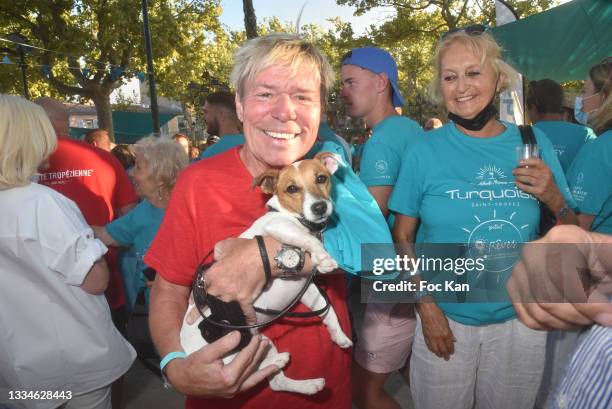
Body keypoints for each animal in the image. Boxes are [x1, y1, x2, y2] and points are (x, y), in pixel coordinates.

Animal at [179, 151, 352, 394]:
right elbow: (307, 239)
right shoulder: (278, 227)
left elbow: (328, 311)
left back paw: (308, 384)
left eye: (321, 178)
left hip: (261, 343)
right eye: (292, 188)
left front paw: (339, 334)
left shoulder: (304, 287)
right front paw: (323, 256)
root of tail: (185, 351)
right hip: (237, 346)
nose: (319, 208)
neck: (293, 217)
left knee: (275, 381)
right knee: (255, 366)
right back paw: (279, 361)